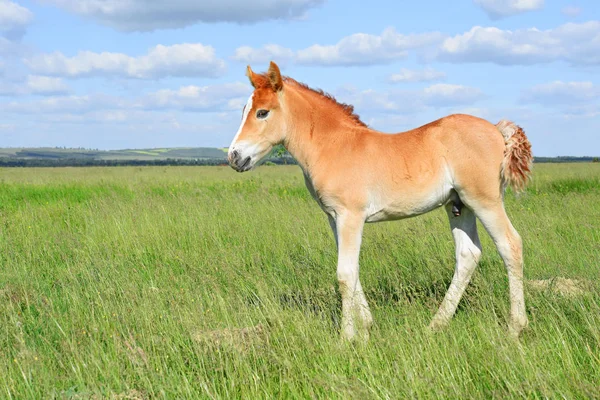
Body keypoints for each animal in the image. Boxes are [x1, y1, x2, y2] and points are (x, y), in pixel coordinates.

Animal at [227, 61, 532, 340]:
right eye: (243, 111)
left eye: (262, 112)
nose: (234, 157)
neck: (334, 145)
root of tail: (496, 129)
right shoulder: (334, 218)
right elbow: (352, 272)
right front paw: (367, 326)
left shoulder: (350, 216)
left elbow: (344, 275)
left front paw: (346, 338)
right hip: (458, 206)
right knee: (468, 255)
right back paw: (435, 325)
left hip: (483, 201)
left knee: (510, 245)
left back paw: (514, 328)